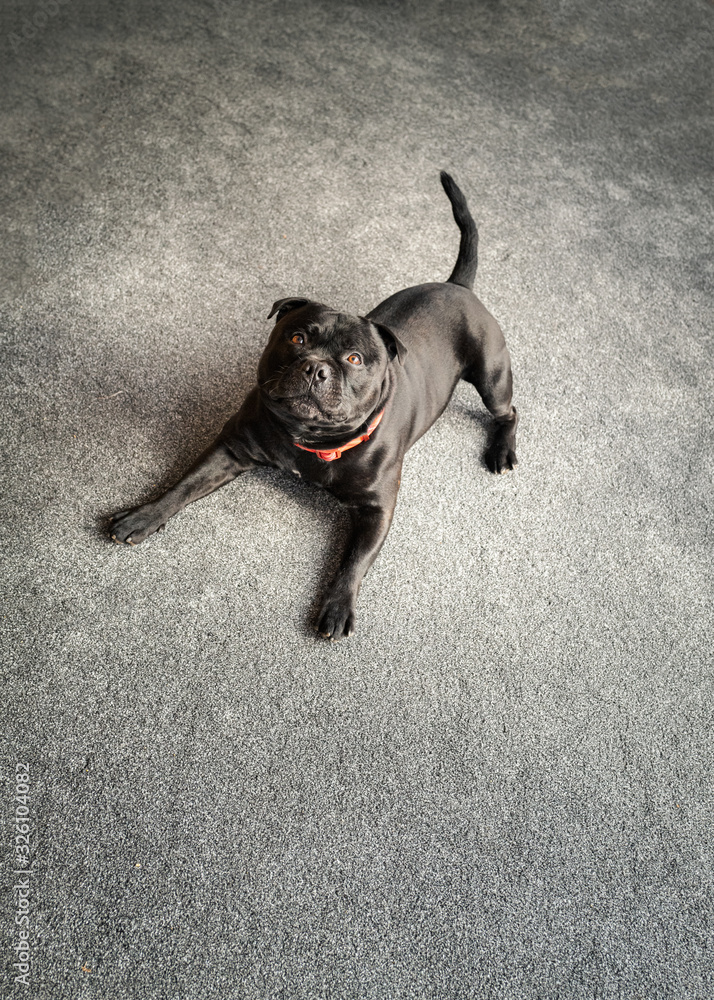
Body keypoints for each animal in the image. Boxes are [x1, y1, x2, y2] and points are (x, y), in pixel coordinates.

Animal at [108, 173, 516, 636]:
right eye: (297, 337)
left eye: (354, 359)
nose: (316, 368)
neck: (311, 437)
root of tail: (458, 286)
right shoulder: (230, 449)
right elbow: (183, 485)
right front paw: (143, 516)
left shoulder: (377, 510)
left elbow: (353, 561)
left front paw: (337, 607)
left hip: (492, 376)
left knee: (508, 412)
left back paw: (503, 451)